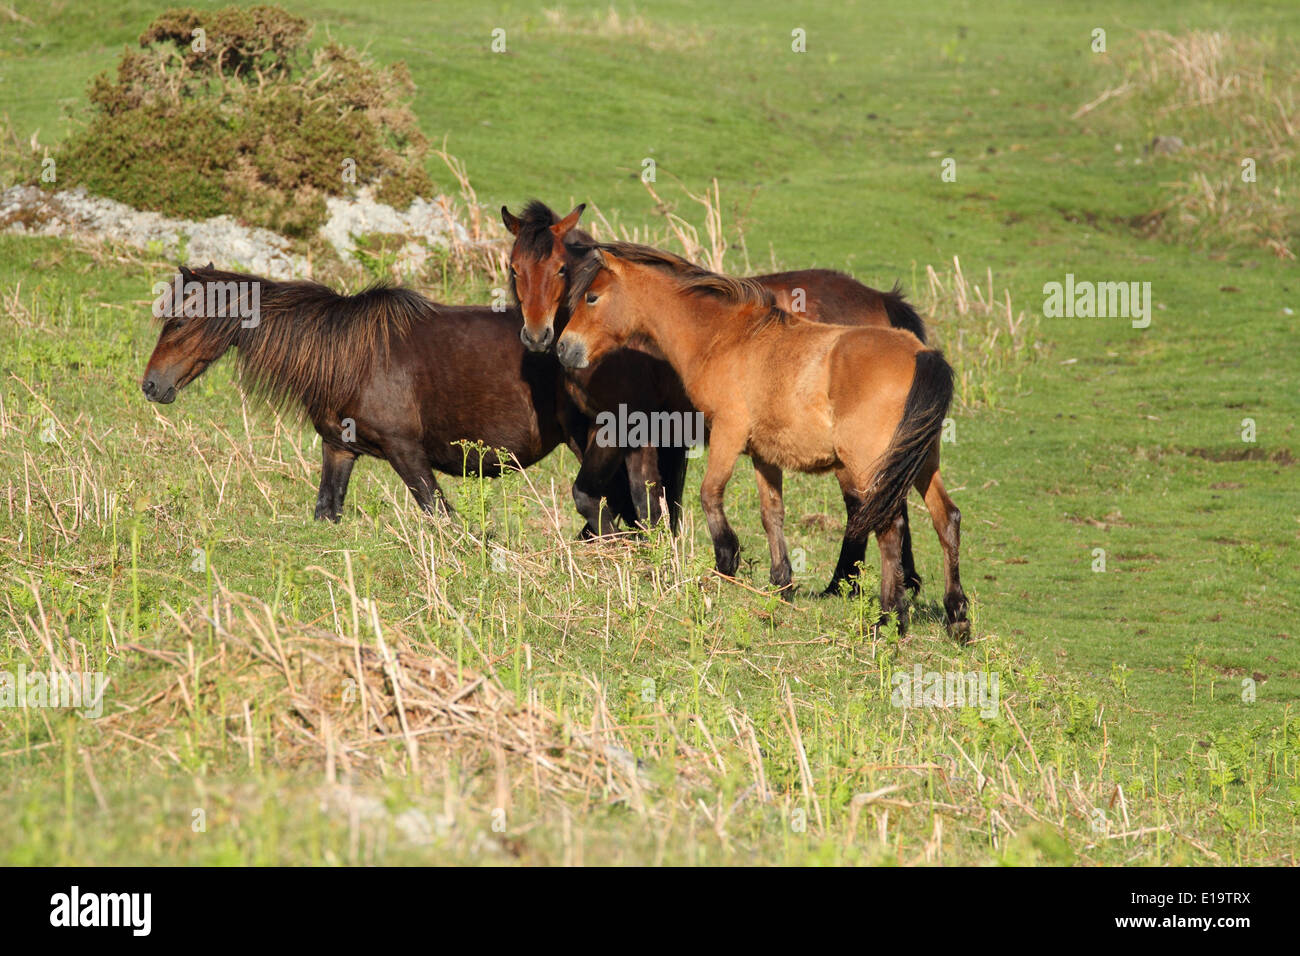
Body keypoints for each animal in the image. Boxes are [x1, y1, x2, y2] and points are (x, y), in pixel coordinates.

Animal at [140, 265, 640, 527]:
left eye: (178, 321)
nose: (151, 385)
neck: (344, 355)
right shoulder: (339, 450)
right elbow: (328, 511)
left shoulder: (407, 453)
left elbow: (442, 520)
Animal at [502, 200, 929, 592]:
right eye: (514, 268)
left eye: (561, 268)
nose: (541, 336)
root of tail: (881, 300)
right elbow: (645, 501)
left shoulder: (621, 427)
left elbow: (600, 495)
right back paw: (905, 579)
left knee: (862, 505)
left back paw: (843, 584)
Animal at [555, 242, 970, 641]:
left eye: (591, 297)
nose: (562, 347)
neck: (724, 337)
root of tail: (921, 354)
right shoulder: (764, 455)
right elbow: (772, 514)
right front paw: (781, 583)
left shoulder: (728, 433)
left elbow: (710, 494)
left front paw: (727, 561)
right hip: (921, 463)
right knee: (946, 520)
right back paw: (956, 618)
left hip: (869, 466)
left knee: (890, 529)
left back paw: (889, 618)